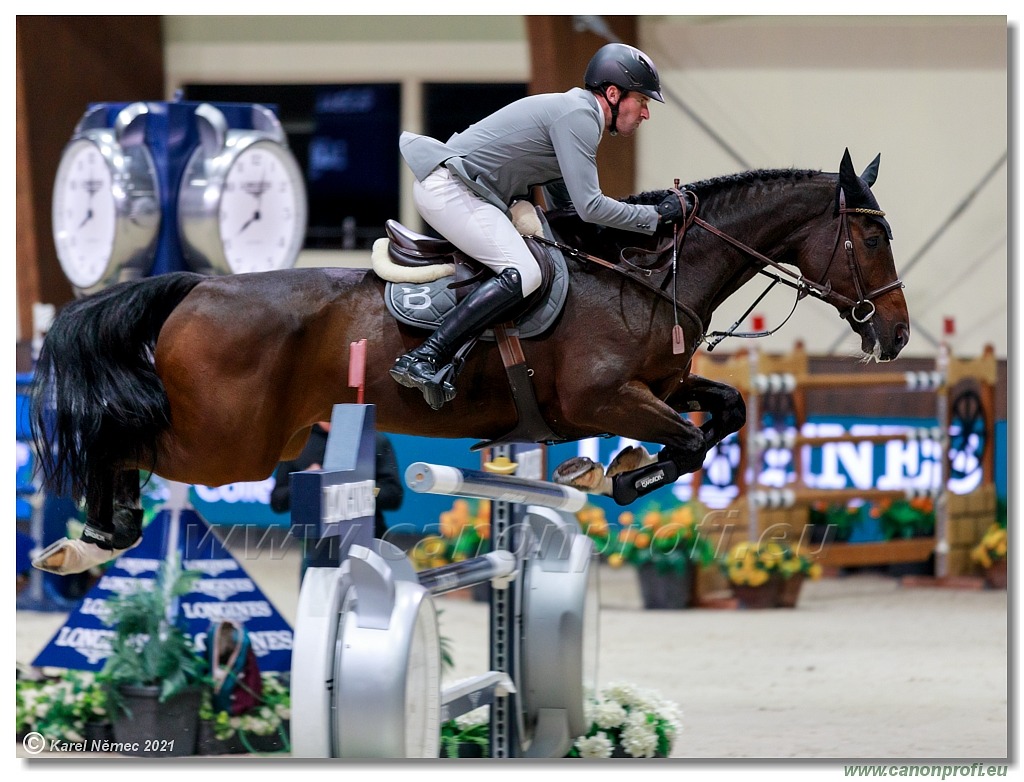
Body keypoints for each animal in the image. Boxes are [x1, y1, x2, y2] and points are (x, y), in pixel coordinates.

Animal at [29, 149, 913, 573]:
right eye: (872, 236)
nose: (898, 335)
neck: (645, 274)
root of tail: (197, 285)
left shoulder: (656, 385)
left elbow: (723, 412)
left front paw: (613, 467)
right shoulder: (602, 397)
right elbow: (691, 440)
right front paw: (620, 476)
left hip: (253, 440)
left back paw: (98, 534)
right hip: (227, 444)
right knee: (120, 435)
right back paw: (93, 537)